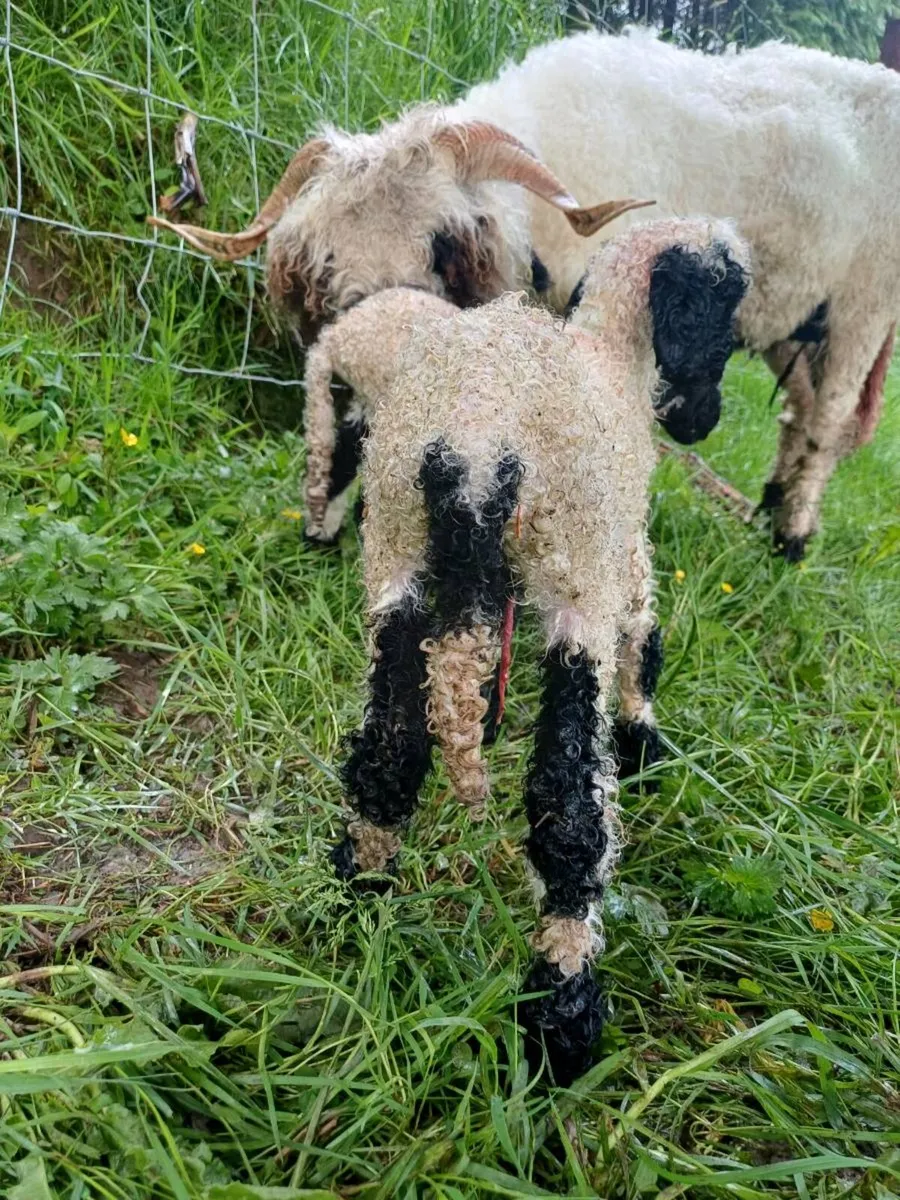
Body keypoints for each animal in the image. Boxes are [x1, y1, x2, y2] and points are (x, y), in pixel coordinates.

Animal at [150, 29, 897, 561]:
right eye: (326, 270)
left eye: (441, 245)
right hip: (798, 325)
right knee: (801, 414)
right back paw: (771, 512)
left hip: (866, 305)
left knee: (829, 421)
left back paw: (792, 540)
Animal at [326, 217, 749, 1084]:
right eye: (726, 302)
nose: (702, 419)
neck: (614, 354)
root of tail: (474, 445)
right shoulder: (620, 553)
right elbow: (645, 636)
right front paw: (645, 739)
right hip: (570, 579)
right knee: (569, 809)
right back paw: (564, 1013)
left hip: (394, 549)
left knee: (390, 746)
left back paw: (361, 893)